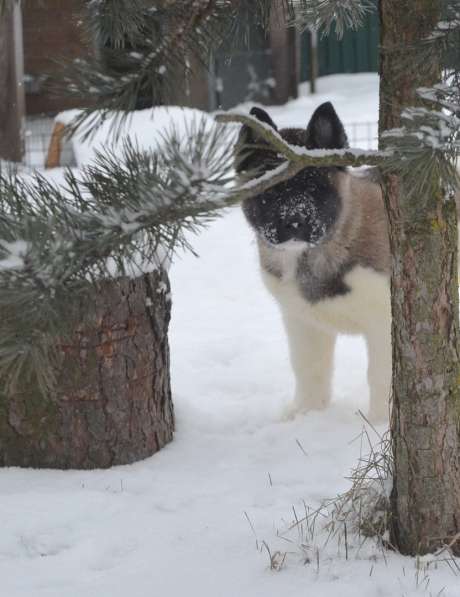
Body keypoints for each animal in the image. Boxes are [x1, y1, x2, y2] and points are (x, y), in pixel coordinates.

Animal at [237, 101, 392, 420]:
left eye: (314, 187)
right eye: (272, 189)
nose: (294, 222)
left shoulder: (384, 321)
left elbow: (381, 377)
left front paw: (381, 424)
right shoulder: (302, 321)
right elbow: (308, 368)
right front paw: (306, 415)